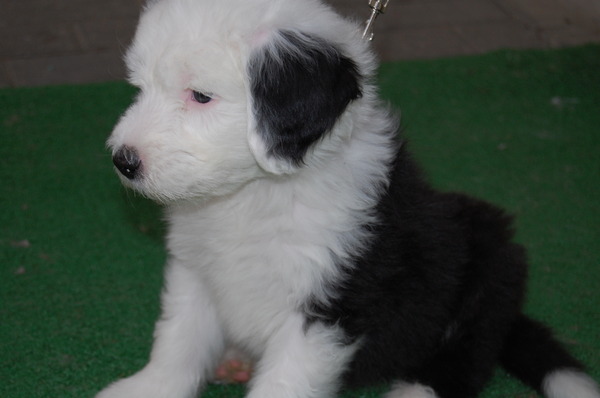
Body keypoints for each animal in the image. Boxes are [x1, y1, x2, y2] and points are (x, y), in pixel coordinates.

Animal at [96, 0, 596, 398]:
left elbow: (285, 381)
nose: (124, 160)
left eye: (201, 96)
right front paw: (144, 390)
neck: (256, 195)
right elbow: (178, 341)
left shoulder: (329, 303)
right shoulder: (196, 270)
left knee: (462, 360)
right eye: (140, 86)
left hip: (489, 264)